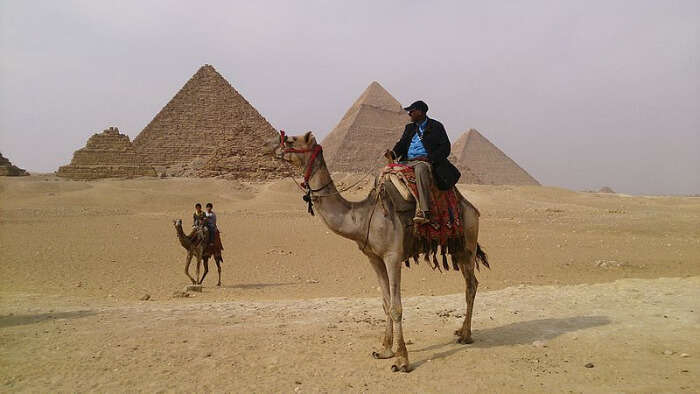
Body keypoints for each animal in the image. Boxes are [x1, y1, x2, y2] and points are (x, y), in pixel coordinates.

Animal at [266, 132, 490, 372]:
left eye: (291, 140)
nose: (270, 146)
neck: (364, 217)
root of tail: (470, 206)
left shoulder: (392, 257)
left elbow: (396, 307)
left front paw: (402, 360)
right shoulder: (374, 258)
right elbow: (385, 303)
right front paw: (384, 350)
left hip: (468, 243)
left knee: (471, 285)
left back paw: (465, 335)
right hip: (456, 247)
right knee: (471, 283)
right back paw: (461, 331)